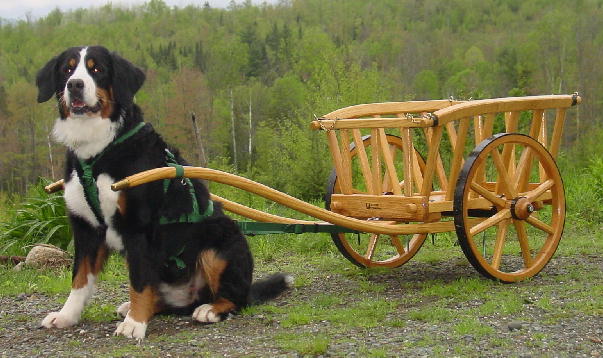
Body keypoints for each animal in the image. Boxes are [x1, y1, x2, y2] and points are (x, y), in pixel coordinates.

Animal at [35, 46, 294, 340]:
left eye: (97, 69)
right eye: (67, 69)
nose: (75, 85)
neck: (98, 151)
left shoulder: (138, 227)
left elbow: (138, 280)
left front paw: (135, 324)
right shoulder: (86, 227)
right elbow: (80, 278)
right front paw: (66, 316)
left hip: (220, 243)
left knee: (236, 298)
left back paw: (210, 309)